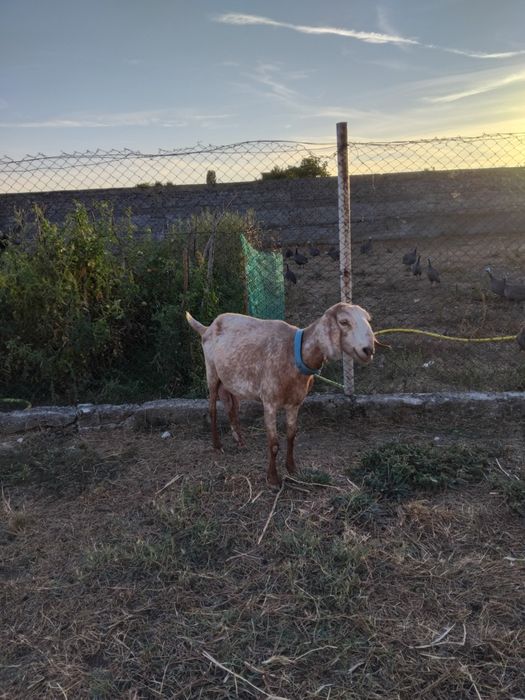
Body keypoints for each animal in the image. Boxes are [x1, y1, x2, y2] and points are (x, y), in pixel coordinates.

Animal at [186, 302, 377, 486]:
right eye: (344, 322)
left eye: (368, 320)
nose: (368, 350)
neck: (295, 353)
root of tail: (207, 328)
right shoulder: (269, 402)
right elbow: (274, 443)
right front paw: (273, 479)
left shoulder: (295, 403)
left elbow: (291, 435)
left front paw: (292, 468)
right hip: (212, 372)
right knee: (212, 409)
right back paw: (217, 445)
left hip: (231, 382)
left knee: (231, 407)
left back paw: (240, 441)